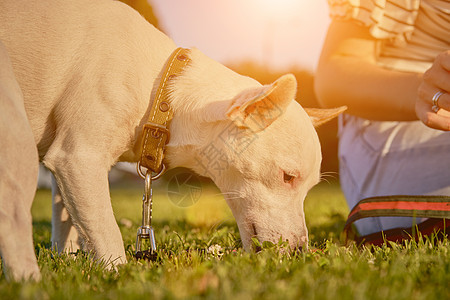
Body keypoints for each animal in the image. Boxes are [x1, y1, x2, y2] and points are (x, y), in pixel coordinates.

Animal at [0, 0, 344, 282]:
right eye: (287, 177)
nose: (301, 251)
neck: (160, 91)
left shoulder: (67, 169)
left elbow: (69, 223)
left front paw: (69, 263)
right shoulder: (78, 159)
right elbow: (106, 230)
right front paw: (119, 275)